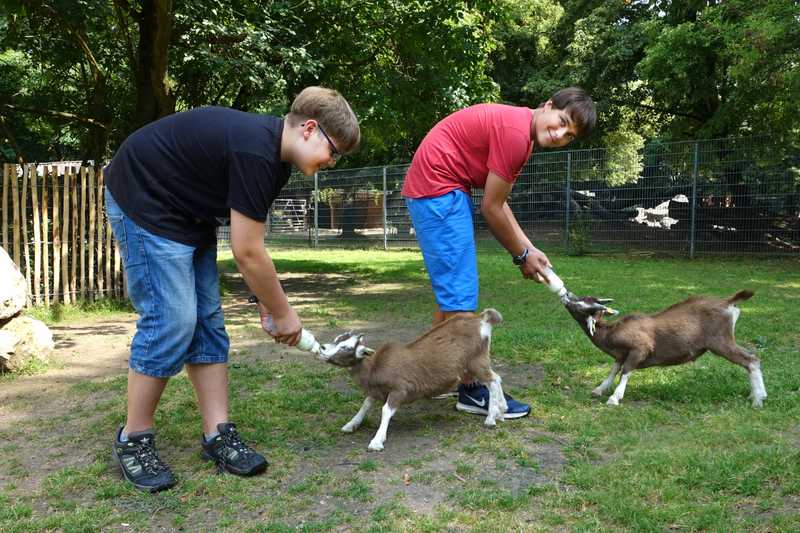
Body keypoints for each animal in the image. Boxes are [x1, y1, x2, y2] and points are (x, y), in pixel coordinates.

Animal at [318, 308, 506, 448]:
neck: (376, 366)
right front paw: (351, 425)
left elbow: (385, 410)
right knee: (496, 378)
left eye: (346, 347)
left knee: (492, 381)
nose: (322, 348)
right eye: (337, 338)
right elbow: (366, 404)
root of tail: (481, 319)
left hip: (475, 361)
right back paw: (501, 411)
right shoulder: (377, 390)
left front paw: (377, 441)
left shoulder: (400, 389)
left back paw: (491, 418)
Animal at [560, 288, 764, 406]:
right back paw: (755, 396)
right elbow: (614, 370)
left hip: (721, 341)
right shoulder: (620, 355)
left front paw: (614, 398)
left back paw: (758, 399)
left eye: (583, 304)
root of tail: (728, 302)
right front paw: (599, 390)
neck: (612, 332)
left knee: (751, 359)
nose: (566, 295)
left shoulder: (640, 349)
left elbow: (625, 371)